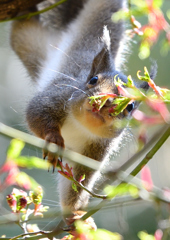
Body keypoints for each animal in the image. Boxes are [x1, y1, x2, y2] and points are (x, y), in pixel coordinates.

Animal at [9, 0, 156, 229]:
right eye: (93, 80)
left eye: (131, 107)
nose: (103, 103)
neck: (80, 126)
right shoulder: (56, 94)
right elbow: (35, 114)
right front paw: (53, 138)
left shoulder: (96, 150)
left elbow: (77, 181)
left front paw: (75, 215)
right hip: (31, 40)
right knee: (20, 27)